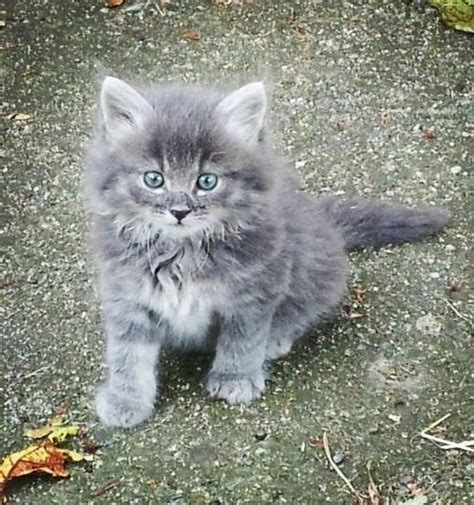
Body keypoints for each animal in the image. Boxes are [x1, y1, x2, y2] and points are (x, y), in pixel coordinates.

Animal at [85, 77, 452, 428]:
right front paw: (125, 402)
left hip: (314, 266)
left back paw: (276, 339)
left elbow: (243, 340)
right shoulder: (126, 295)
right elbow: (127, 356)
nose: (179, 211)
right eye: (154, 179)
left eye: (206, 181)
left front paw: (235, 378)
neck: (184, 253)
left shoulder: (256, 290)